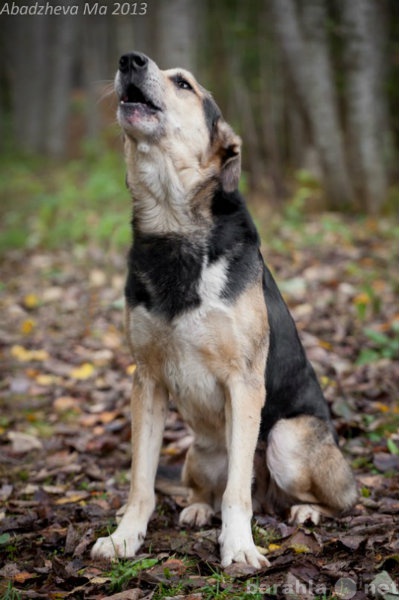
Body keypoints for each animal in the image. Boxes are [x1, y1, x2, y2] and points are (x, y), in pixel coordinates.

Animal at [91, 51, 360, 568]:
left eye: (184, 84)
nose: (129, 60)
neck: (174, 227)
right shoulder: (146, 380)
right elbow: (141, 481)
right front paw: (125, 537)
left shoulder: (244, 382)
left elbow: (238, 493)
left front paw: (238, 546)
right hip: (201, 450)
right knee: (208, 490)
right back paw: (198, 508)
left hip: (287, 441)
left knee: (322, 499)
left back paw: (306, 512)